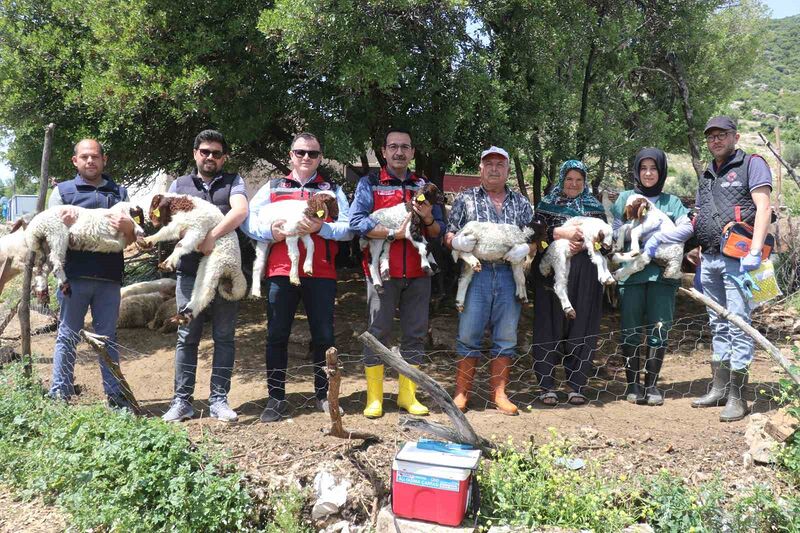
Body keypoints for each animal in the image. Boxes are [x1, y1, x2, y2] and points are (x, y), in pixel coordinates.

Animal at [141, 193, 247, 322]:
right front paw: (146, 241)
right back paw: (183, 314)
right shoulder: (181, 223)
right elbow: (165, 231)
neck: (185, 205)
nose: (153, 222)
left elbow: (180, 244)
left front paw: (167, 265)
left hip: (218, 261)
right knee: (199, 287)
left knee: (207, 292)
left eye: (154, 205)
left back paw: (186, 315)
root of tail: (235, 268)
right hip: (205, 263)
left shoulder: (197, 228)